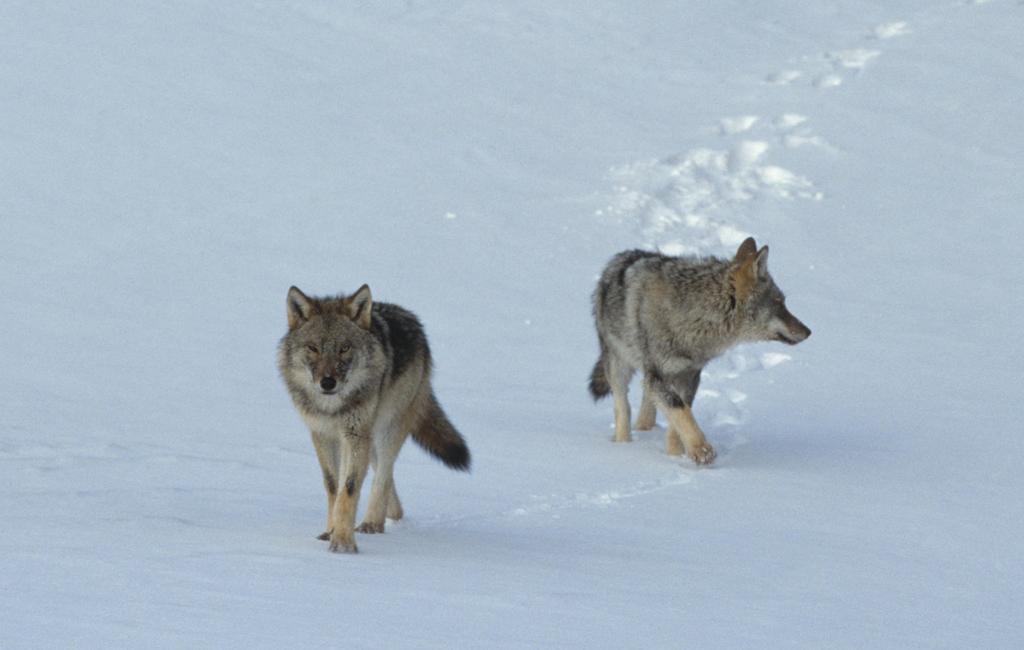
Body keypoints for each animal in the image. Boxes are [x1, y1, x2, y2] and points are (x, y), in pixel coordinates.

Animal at [280, 284, 471, 552]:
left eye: (344, 348)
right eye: (313, 348)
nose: (327, 383)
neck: (333, 407)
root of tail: (412, 319)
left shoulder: (355, 434)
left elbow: (349, 488)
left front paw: (343, 542)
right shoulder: (323, 434)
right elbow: (333, 485)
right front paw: (331, 531)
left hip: (385, 430)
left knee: (384, 473)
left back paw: (372, 522)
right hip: (368, 439)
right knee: (387, 484)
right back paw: (389, 515)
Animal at [589, 239, 811, 468]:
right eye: (779, 303)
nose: (808, 331)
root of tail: (618, 258)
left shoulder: (689, 375)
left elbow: (679, 421)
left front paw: (676, 456)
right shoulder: (660, 375)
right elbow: (680, 412)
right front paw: (701, 450)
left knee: (646, 404)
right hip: (619, 368)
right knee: (623, 408)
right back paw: (623, 446)